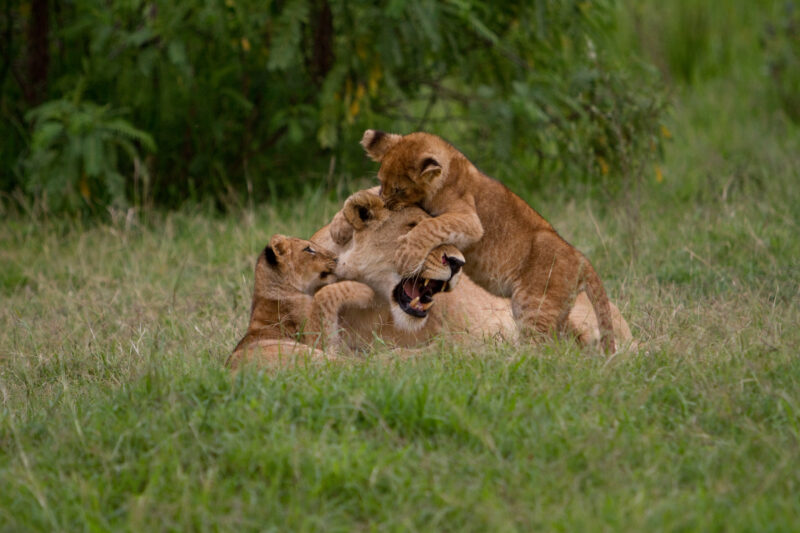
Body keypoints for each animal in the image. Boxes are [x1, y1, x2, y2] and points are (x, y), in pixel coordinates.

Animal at [360, 129, 617, 353]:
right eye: (381, 182)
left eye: (399, 189)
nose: (384, 202)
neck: (451, 168)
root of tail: (581, 258)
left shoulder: (469, 220)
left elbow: (431, 225)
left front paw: (406, 254)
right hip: (560, 311)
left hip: (534, 303)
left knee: (541, 346)